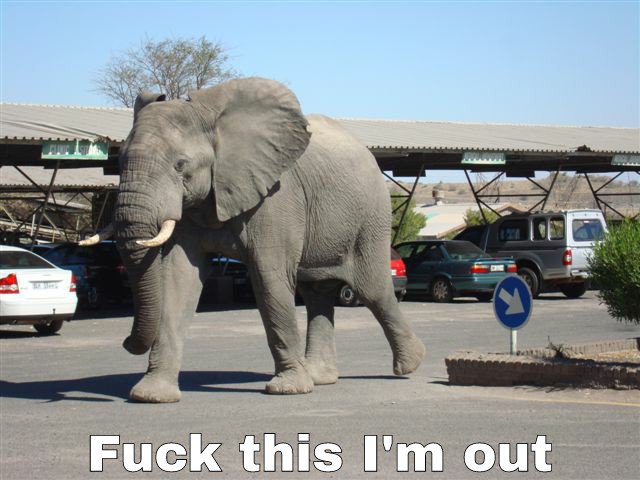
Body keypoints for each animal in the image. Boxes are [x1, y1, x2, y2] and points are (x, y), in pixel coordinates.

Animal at [83, 77, 426, 403]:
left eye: (180, 166)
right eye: (118, 163)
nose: (126, 343)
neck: (212, 121)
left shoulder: (276, 198)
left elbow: (269, 278)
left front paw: (288, 390)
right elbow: (180, 278)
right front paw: (151, 396)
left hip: (370, 217)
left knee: (373, 289)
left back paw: (410, 365)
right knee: (317, 293)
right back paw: (320, 377)